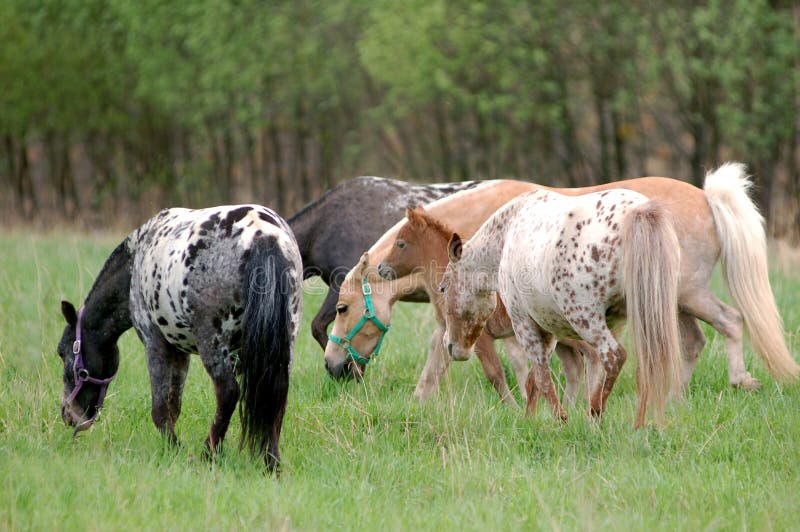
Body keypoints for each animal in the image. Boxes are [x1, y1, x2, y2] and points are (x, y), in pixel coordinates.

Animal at [56, 205, 302, 472]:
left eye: (63, 352)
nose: (69, 415)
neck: (135, 263)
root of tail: (262, 235)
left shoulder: (157, 344)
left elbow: (162, 409)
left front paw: (174, 449)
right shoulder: (184, 352)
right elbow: (174, 406)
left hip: (211, 344)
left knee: (228, 393)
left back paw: (209, 453)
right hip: (282, 346)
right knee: (275, 396)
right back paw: (271, 462)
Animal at [324, 164, 799, 402]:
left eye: (343, 309)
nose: (331, 366)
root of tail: (706, 197)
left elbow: (511, 370)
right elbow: (438, 360)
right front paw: (419, 403)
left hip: (687, 294)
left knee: (731, 322)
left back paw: (739, 381)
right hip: (670, 302)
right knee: (691, 342)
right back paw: (672, 395)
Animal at [441, 188, 683, 427]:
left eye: (443, 288)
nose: (450, 345)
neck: (507, 234)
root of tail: (639, 210)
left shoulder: (524, 325)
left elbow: (541, 376)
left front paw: (560, 419)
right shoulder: (548, 330)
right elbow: (534, 379)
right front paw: (529, 419)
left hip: (586, 319)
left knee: (614, 357)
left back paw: (593, 414)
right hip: (642, 317)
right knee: (646, 366)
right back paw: (638, 425)